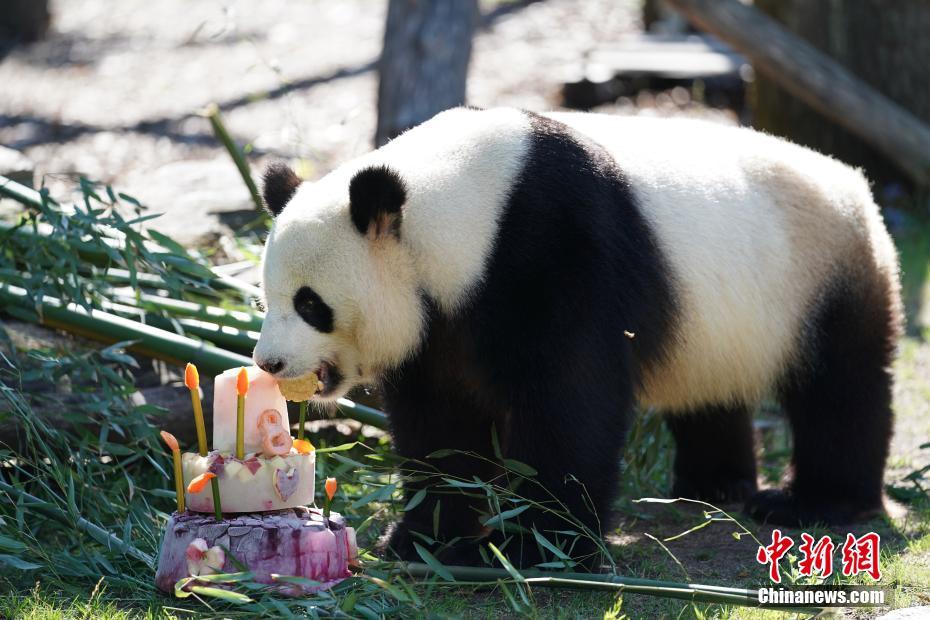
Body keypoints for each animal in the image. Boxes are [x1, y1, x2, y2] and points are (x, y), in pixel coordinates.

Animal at [252, 105, 900, 568]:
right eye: (266, 299)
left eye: (310, 304)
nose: (269, 363)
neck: (460, 209)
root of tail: (853, 183)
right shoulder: (437, 326)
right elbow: (440, 424)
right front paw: (422, 537)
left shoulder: (553, 250)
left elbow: (569, 400)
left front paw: (537, 546)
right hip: (726, 319)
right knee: (713, 392)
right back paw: (715, 484)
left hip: (819, 278)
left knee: (841, 390)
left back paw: (814, 502)